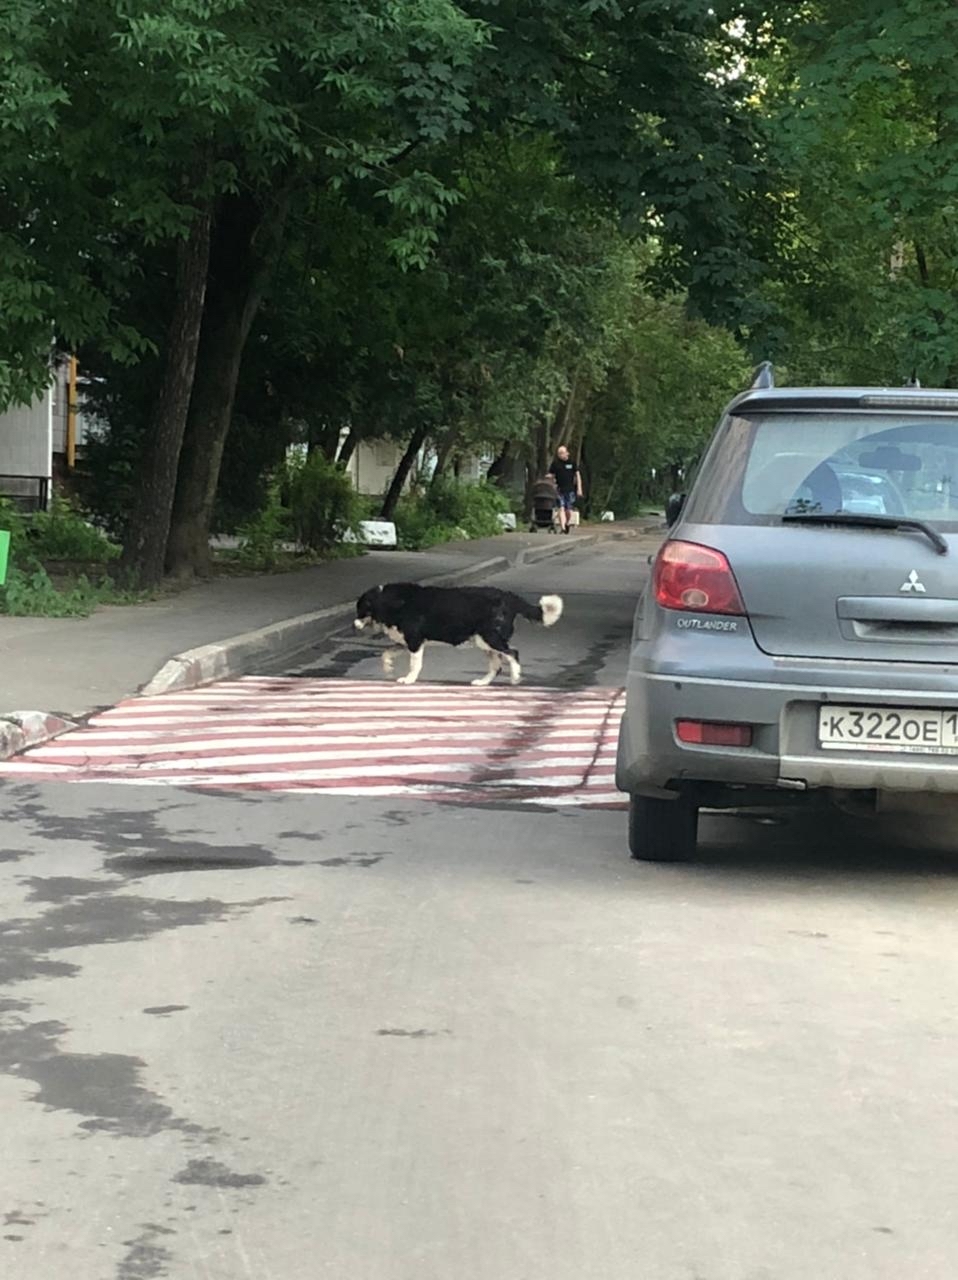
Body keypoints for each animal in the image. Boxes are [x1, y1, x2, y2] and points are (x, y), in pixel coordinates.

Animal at [350, 583, 560, 686]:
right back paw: (482, 682)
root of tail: (509, 597)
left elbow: (414, 664)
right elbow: (386, 653)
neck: (392, 602)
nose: (354, 625)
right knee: (497, 665)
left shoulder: (415, 641)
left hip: (490, 637)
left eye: (360, 610)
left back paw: (515, 677)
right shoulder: (405, 642)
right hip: (484, 642)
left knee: (512, 653)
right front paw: (388, 667)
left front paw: (409, 679)